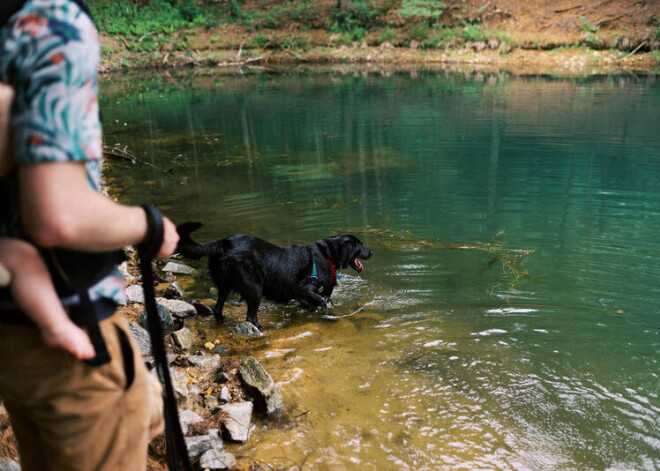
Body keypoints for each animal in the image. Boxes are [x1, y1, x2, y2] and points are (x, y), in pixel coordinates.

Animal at [175, 224, 372, 328]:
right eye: (360, 246)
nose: (371, 252)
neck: (327, 255)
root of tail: (223, 243)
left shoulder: (303, 295)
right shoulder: (305, 288)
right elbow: (324, 300)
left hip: (225, 285)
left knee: (218, 308)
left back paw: (223, 322)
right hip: (254, 288)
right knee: (251, 317)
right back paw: (260, 329)